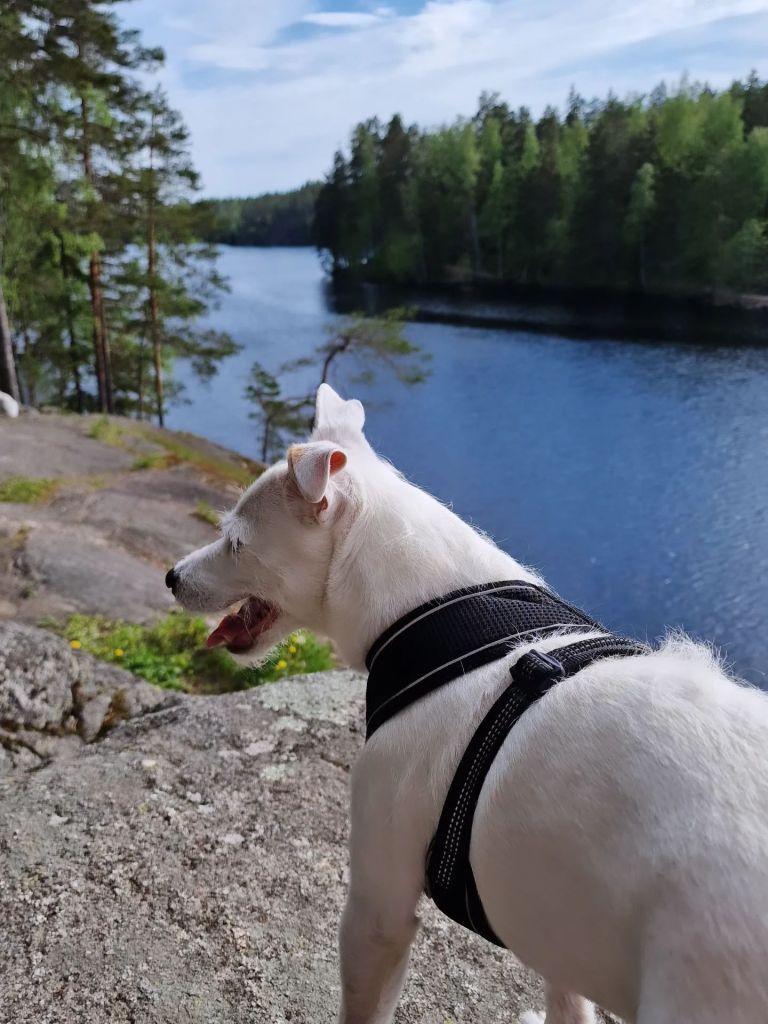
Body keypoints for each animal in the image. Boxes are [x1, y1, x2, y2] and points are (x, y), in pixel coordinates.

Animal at [168, 383, 768, 1024]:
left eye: (236, 542)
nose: (170, 576)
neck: (451, 617)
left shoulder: (378, 907)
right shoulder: (550, 916)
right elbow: (566, 997)